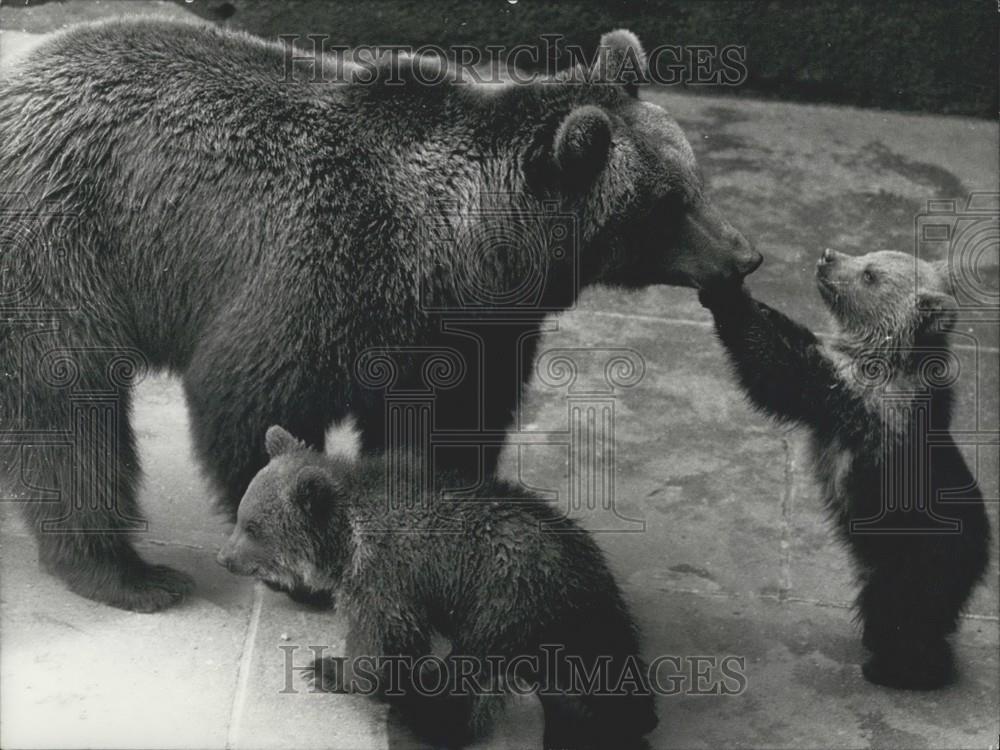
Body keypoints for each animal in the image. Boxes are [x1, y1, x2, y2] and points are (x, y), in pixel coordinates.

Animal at [0, 20, 756, 612]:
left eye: (693, 180)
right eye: (667, 203)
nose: (743, 255)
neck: (470, 249)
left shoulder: (466, 330)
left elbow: (448, 429)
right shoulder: (324, 271)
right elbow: (248, 399)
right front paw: (297, 561)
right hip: (59, 249)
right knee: (71, 419)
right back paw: (129, 572)